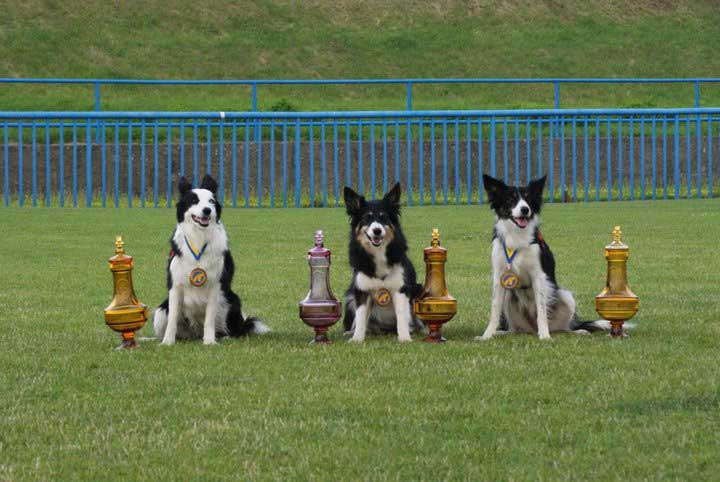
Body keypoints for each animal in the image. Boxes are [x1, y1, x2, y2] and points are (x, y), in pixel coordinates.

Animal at [153, 175, 268, 345]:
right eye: (194, 200)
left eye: (211, 201)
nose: (207, 210)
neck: (199, 237)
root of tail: (195, 333)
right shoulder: (175, 285)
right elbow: (173, 317)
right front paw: (167, 342)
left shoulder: (215, 285)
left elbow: (209, 318)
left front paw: (209, 342)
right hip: (161, 311)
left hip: (231, 301)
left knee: (233, 329)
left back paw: (223, 336)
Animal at [342, 183, 424, 342]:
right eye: (367, 218)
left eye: (383, 217)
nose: (377, 230)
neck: (378, 252)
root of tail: (385, 329)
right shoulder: (361, 290)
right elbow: (360, 317)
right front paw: (357, 339)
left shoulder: (401, 289)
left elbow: (402, 315)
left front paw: (404, 338)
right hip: (350, 297)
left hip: (418, 290)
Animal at [477, 174, 610, 340]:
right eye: (510, 199)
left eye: (528, 199)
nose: (525, 209)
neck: (517, 236)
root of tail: (531, 329)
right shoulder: (500, 276)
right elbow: (494, 309)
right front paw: (487, 335)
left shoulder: (539, 276)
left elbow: (541, 310)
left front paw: (545, 336)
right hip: (510, 297)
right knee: (515, 329)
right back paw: (502, 332)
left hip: (565, 296)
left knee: (564, 327)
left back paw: (576, 331)